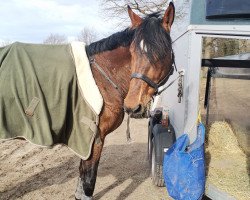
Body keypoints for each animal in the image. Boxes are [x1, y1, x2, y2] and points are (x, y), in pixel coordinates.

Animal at [75, 2, 175, 199]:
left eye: (161, 53)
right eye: (132, 53)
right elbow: (88, 182)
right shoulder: (93, 140)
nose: (132, 106)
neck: (100, 80)